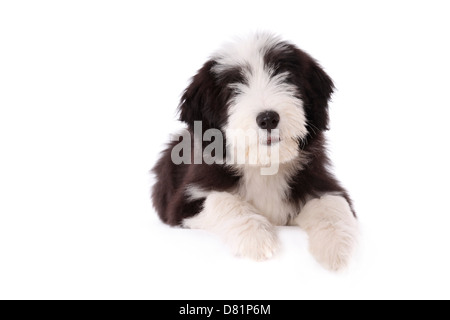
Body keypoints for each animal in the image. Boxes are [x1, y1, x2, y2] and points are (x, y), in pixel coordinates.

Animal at [151, 33, 358, 272]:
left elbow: (331, 205)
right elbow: (223, 200)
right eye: (233, 90)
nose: (268, 119)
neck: (265, 166)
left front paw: (335, 248)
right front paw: (257, 238)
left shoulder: (320, 182)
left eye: (285, 78)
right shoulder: (184, 202)